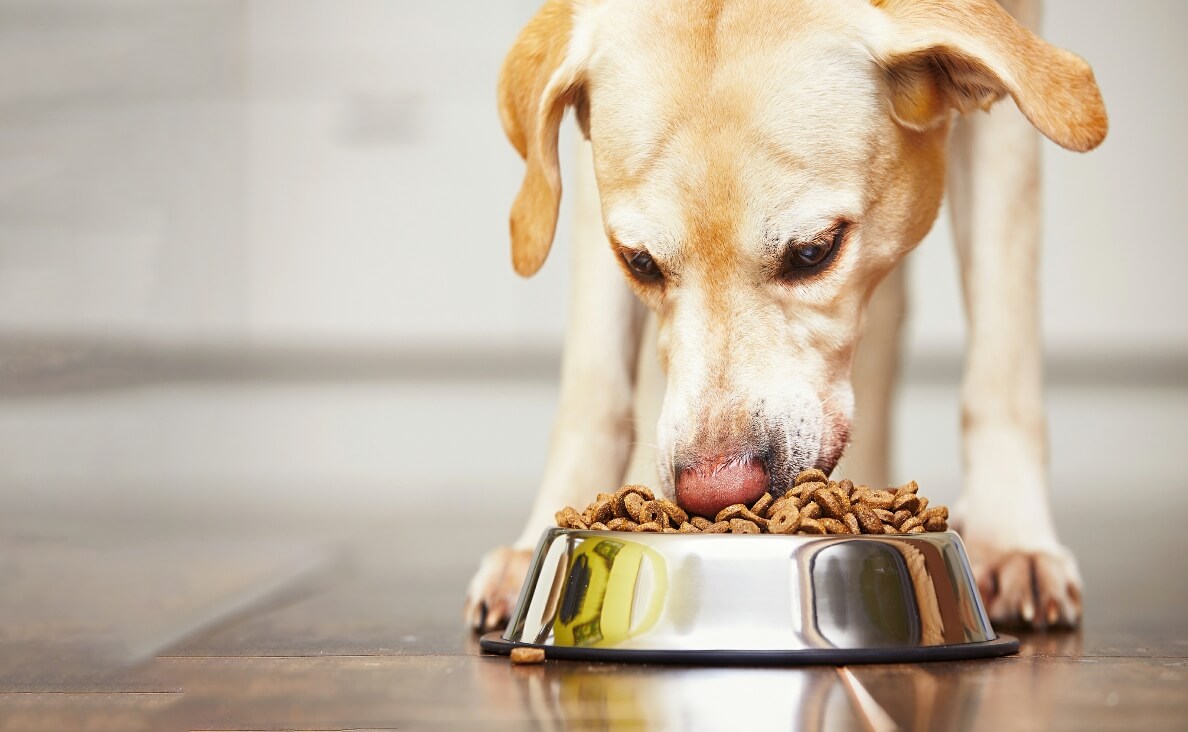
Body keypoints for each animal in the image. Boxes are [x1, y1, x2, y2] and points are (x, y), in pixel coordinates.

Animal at [463, 0, 1102, 632]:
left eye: (815, 251)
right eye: (639, 262)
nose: (715, 493)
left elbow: (1002, 351)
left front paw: (1009, 538)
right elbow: (592, 384)